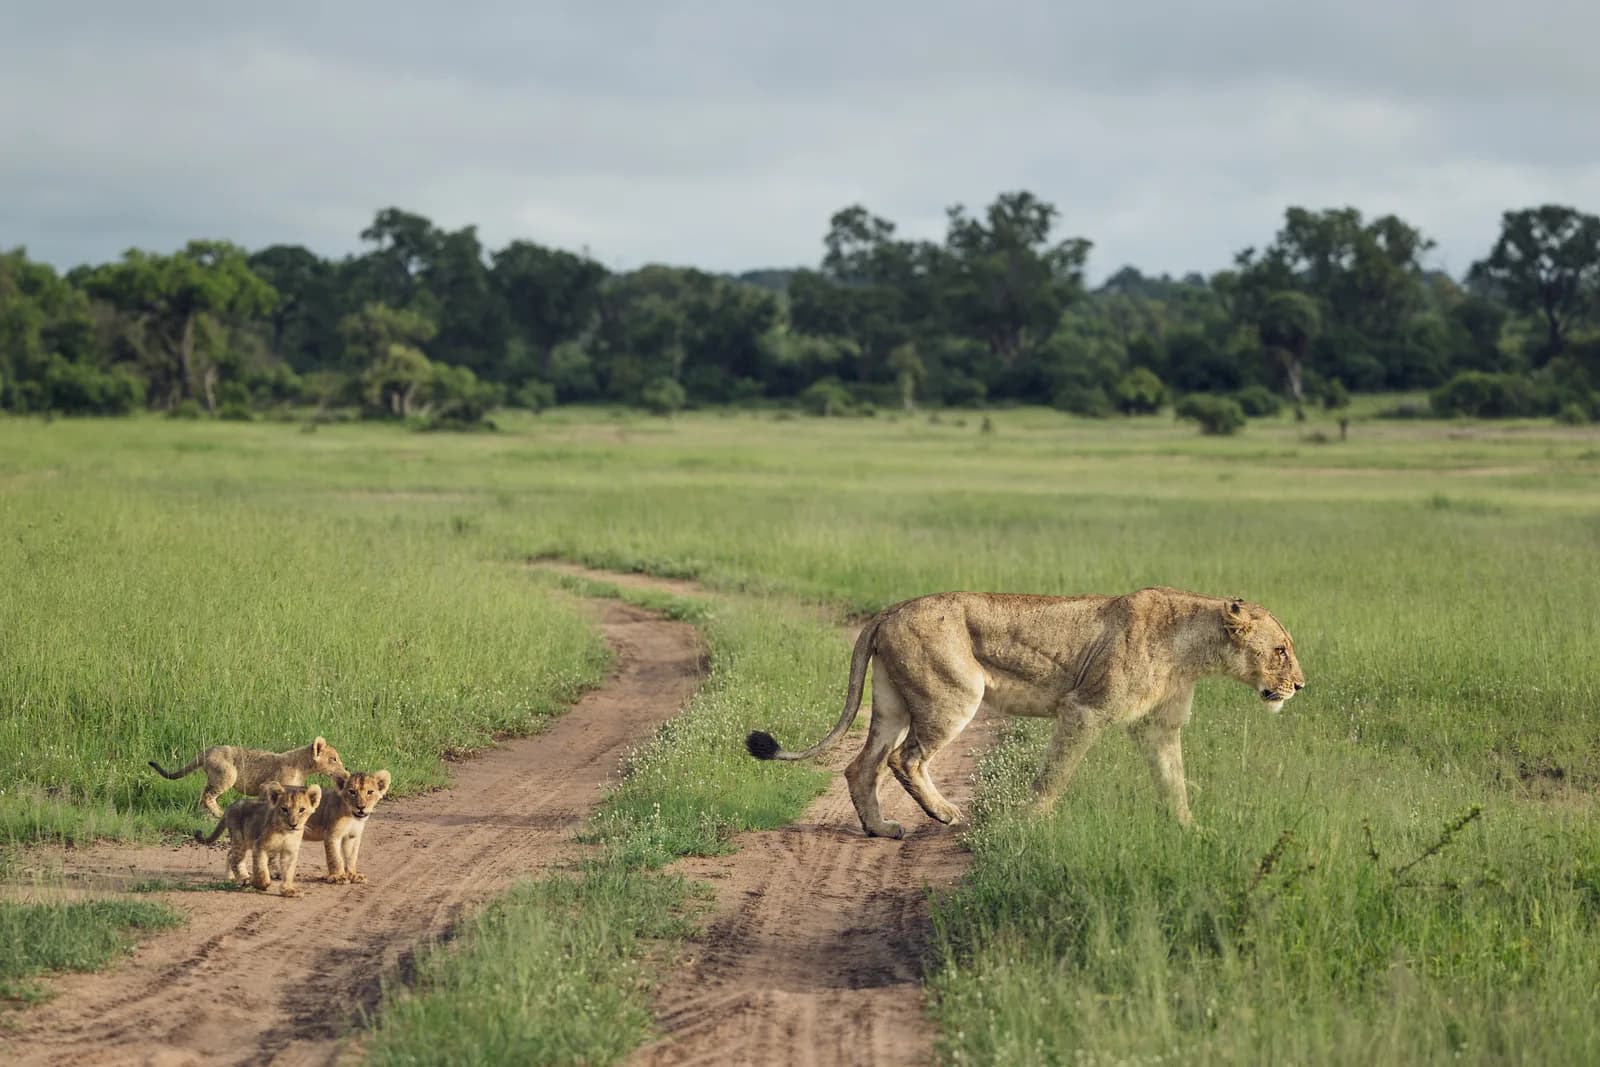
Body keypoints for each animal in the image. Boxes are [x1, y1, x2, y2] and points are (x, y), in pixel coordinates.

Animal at [150, 736, 345, 817]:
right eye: (334, 759)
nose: (345, 771)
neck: (303, 767)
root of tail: (207, 751)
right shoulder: (266, 786)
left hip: (214, 777)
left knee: (203, 794)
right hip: (227, 775)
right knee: (208, 796)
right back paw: (220, 813)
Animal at [194, 781, 323, 896]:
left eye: (301, 810)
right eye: (284, 809)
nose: (293, 824)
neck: (285, 833)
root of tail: (231, 806)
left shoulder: (289, 851)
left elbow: (288, 872)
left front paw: (287, 890)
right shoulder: (260, 845)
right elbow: (261, 869)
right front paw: (261, 885)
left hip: (244, 842)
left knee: (231, 855)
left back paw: (232, 877)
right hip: (239, 840)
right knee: (234, 859)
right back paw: (243, 879)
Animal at [746, 587, 1304, 838]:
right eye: (1281, 650)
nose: (1300, 685)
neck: (1192, 650)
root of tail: (890, 609)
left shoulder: (1158, 729)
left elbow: (1174, 782)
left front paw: (1189, 830)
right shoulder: (1084, 709)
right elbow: (1055, 773)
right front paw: (1029, 821)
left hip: (891, 702)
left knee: (861, 764)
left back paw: (881, 829)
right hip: (954, 693)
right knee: (905, 759)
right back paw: (945, 813)